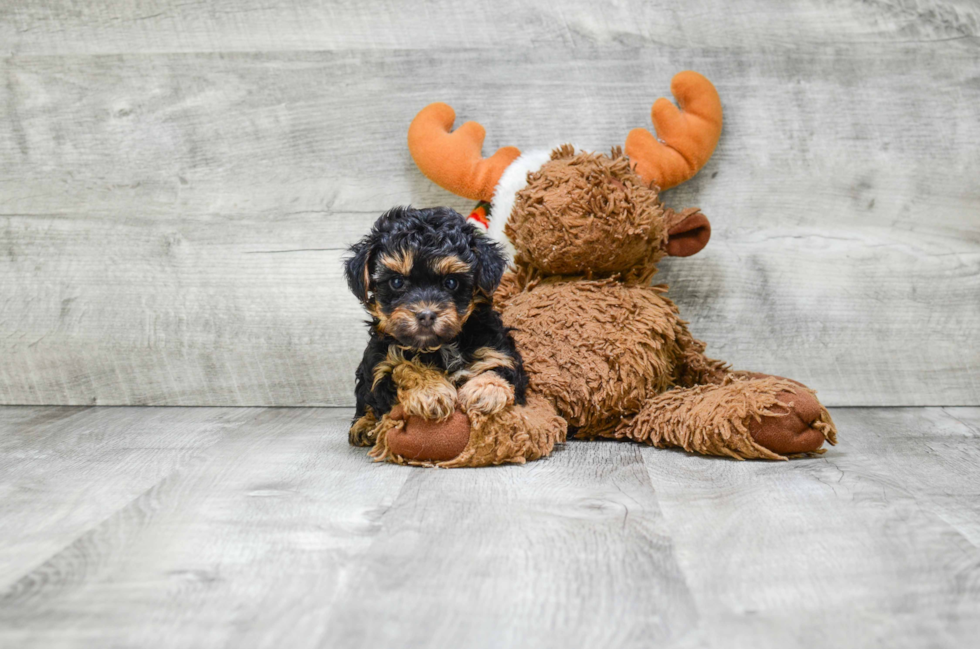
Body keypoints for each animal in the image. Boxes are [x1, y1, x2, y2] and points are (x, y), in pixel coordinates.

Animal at [344, 206, 528, 446]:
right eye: (397, 282)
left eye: (451, 282)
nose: (426, 315)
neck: (438, 346)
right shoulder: (380, 366)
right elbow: (404, 367)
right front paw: (431, 392)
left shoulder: (497, 349)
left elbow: (499, 368)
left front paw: (485, 391)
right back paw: (363, 425)